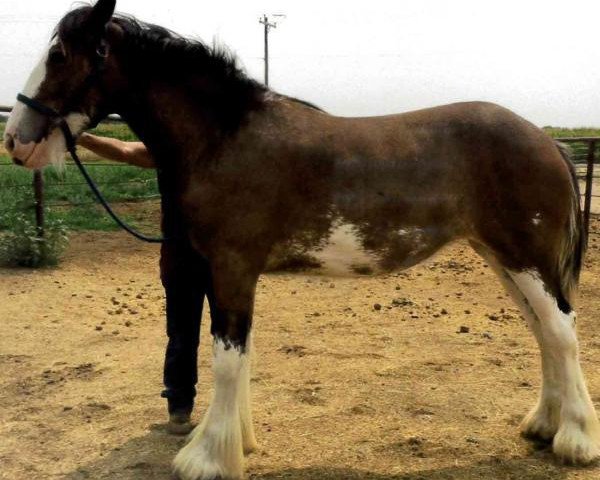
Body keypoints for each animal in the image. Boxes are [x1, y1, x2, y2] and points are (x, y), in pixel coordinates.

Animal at [2, 1, 596, 478]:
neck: (225, 137)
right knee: (544, 334)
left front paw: (207, 458)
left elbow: (227, 358)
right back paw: (544, 426)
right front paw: (236, 442)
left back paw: (574, 442)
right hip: (502, 257)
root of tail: (548, 141)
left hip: (526, 257)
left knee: (562, 332)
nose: (16, 140)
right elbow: (239, 355)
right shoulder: (228, 272)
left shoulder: (232, 266)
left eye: (60, 54)